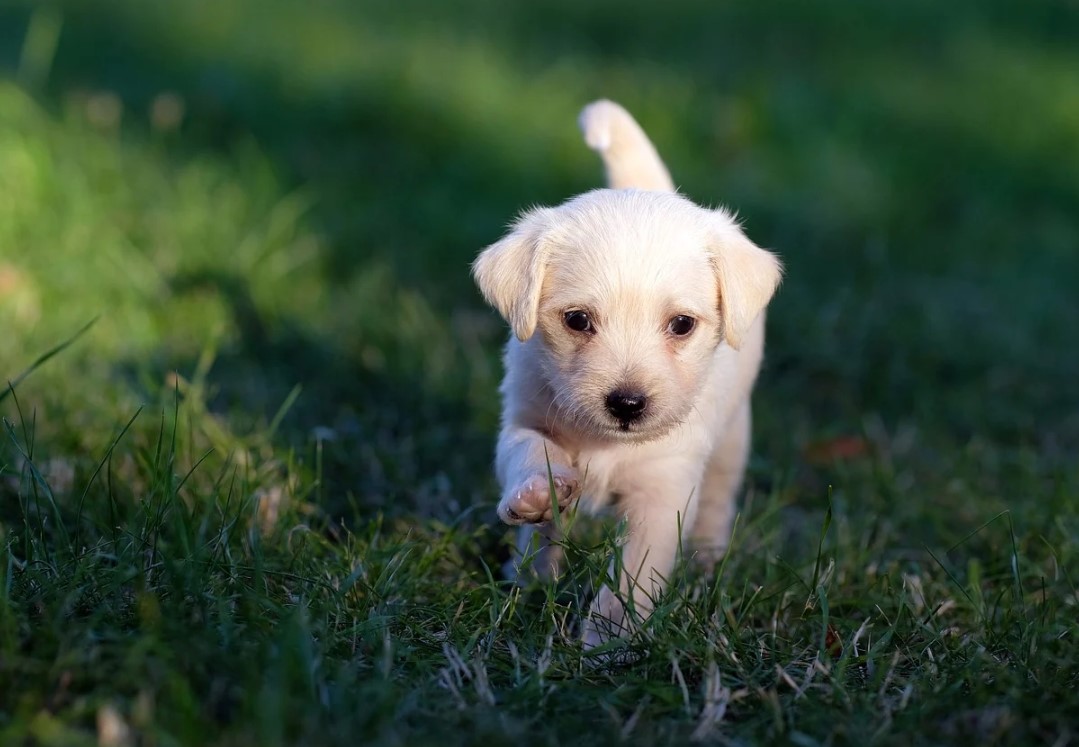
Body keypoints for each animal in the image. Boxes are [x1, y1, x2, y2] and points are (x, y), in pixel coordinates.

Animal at [472, 99, 785, 647]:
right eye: (577, 320)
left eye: (682, 325)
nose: (627, 403)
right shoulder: (524, 417)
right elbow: (530, 452)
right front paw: (536, 494)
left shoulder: (663, 493)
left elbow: (633, 577)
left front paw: (609, 642)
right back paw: (528, 575)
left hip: (732, 440)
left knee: (718, 499)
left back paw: (706, 560)